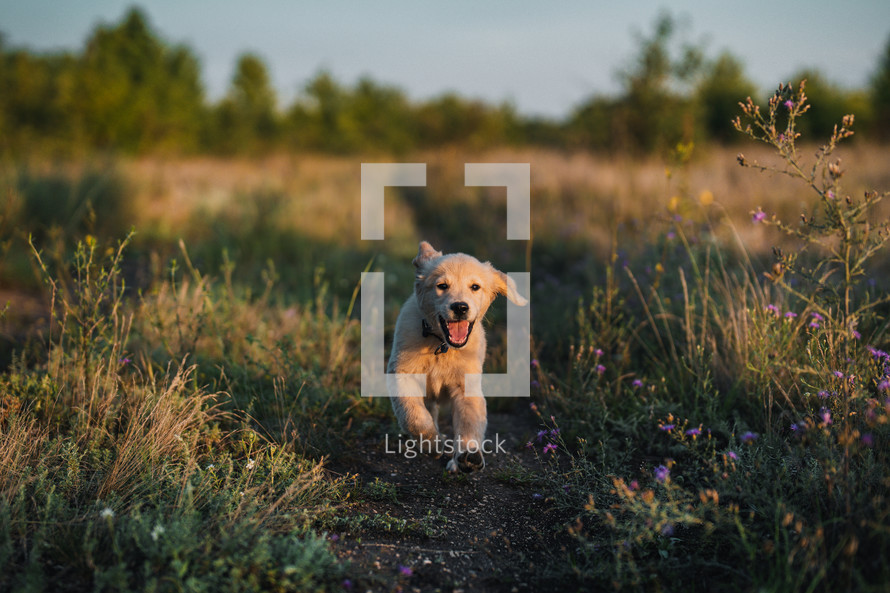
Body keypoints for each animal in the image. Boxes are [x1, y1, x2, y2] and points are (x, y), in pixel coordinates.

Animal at [386, 240, 524, 472]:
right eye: (442, 286)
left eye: (475, 287)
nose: (460, 307)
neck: (442, 346)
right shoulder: (401, 373)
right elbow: (413, 415)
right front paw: (432, 444)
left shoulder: (467, 384)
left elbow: (470, 420)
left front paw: (469, 455)